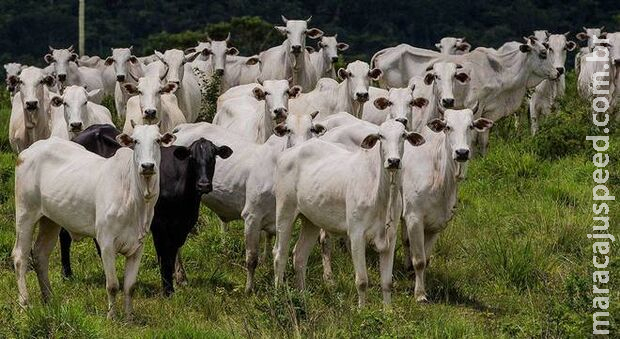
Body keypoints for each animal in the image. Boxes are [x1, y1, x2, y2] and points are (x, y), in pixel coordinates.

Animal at [12, 124, 177, 318]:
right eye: (135, 141)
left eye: (157, 140)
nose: (147, 166)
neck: (135, 198)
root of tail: (29, 151)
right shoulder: (106, 243)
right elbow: (112, 285)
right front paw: (111, 316)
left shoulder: (138, 246)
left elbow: (130, 287)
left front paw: (129, 317)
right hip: (25, 214)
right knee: (20, 256)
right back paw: (24, 303)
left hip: (50, 220)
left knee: (40, 254)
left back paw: (49, 299)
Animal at [61, 123, 232, 296]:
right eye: (192, 158)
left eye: (213, 158)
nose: (203, 184)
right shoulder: (159, 225)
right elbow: (164, 257)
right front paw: (168, 290)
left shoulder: (182, 226)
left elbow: (172, 254)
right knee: (64, 236)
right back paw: (67, 274)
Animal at [172, 113, 326, 294]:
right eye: (288, 130)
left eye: (312, 129)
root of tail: (183, 128)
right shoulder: (252, 217)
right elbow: (252, 259)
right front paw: (249, 290)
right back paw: (180, 277)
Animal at [274, 120, 426, 308]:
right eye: (380, 136)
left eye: (403, 135)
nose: (393, 161)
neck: (382, 197)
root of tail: (287, 154)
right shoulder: (356, 235)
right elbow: (362, 281)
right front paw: (361, 310)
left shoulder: (390, 238)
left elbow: (387, 283)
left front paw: (388, 311)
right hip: (285, 212)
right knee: (279, 255)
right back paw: (278, 294)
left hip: (311, 220)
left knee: (300, 256)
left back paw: (302, 295)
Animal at [402, 108, 494, 302]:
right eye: (448, 127)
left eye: (471, 126)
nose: (462, 152)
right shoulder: (414, 218)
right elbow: (419, 260)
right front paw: (420, 294)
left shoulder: (437, 224)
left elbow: (426, 259)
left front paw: (420, 284)